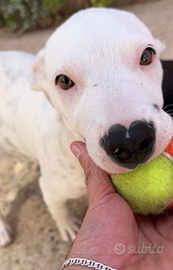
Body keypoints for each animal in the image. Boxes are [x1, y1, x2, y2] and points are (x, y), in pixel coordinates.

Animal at [0, 7, 173, 245]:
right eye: (64, 81)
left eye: (147, 55)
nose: (131, 140)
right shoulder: (51, 189)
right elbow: (58, 210)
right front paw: (66, 226)